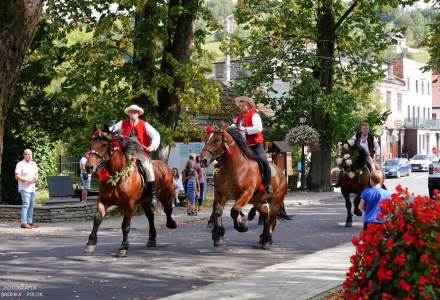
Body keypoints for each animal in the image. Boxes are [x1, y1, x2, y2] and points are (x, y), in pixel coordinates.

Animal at [84, 126, 177, 255]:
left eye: (104, 144)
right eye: (91, 143)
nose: (89, 166)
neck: (118, 176)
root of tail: (165, 166)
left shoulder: (129, 204)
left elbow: (125, 225)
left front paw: (123, 246)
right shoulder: (103, 201)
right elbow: (97, 219)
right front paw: (91, 242)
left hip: (166, 194)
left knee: (168, 209)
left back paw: (171, 223)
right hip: (145, 201)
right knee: (151, 217)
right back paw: (152, 239)